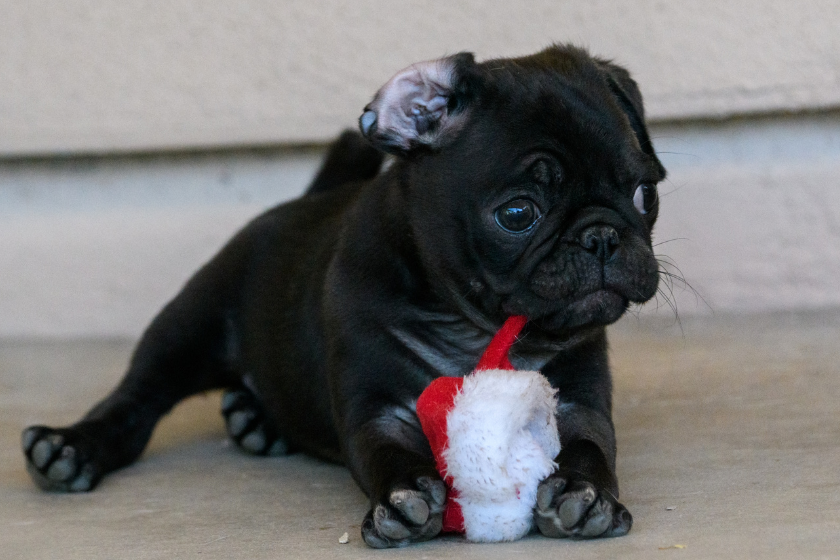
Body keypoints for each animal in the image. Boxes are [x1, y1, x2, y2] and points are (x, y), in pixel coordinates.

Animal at [24, 43, 664, 548]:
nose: (603, 236)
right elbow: (386, 453)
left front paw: (586, 493)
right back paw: (71, 449)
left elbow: (590, 446)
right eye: (517, 213)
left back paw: (255, 418)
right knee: (137, 399)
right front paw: (403, 500)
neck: (471, 327)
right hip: (189, 324)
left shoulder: (576, 403)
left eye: (644, 193)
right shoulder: (377, 408)